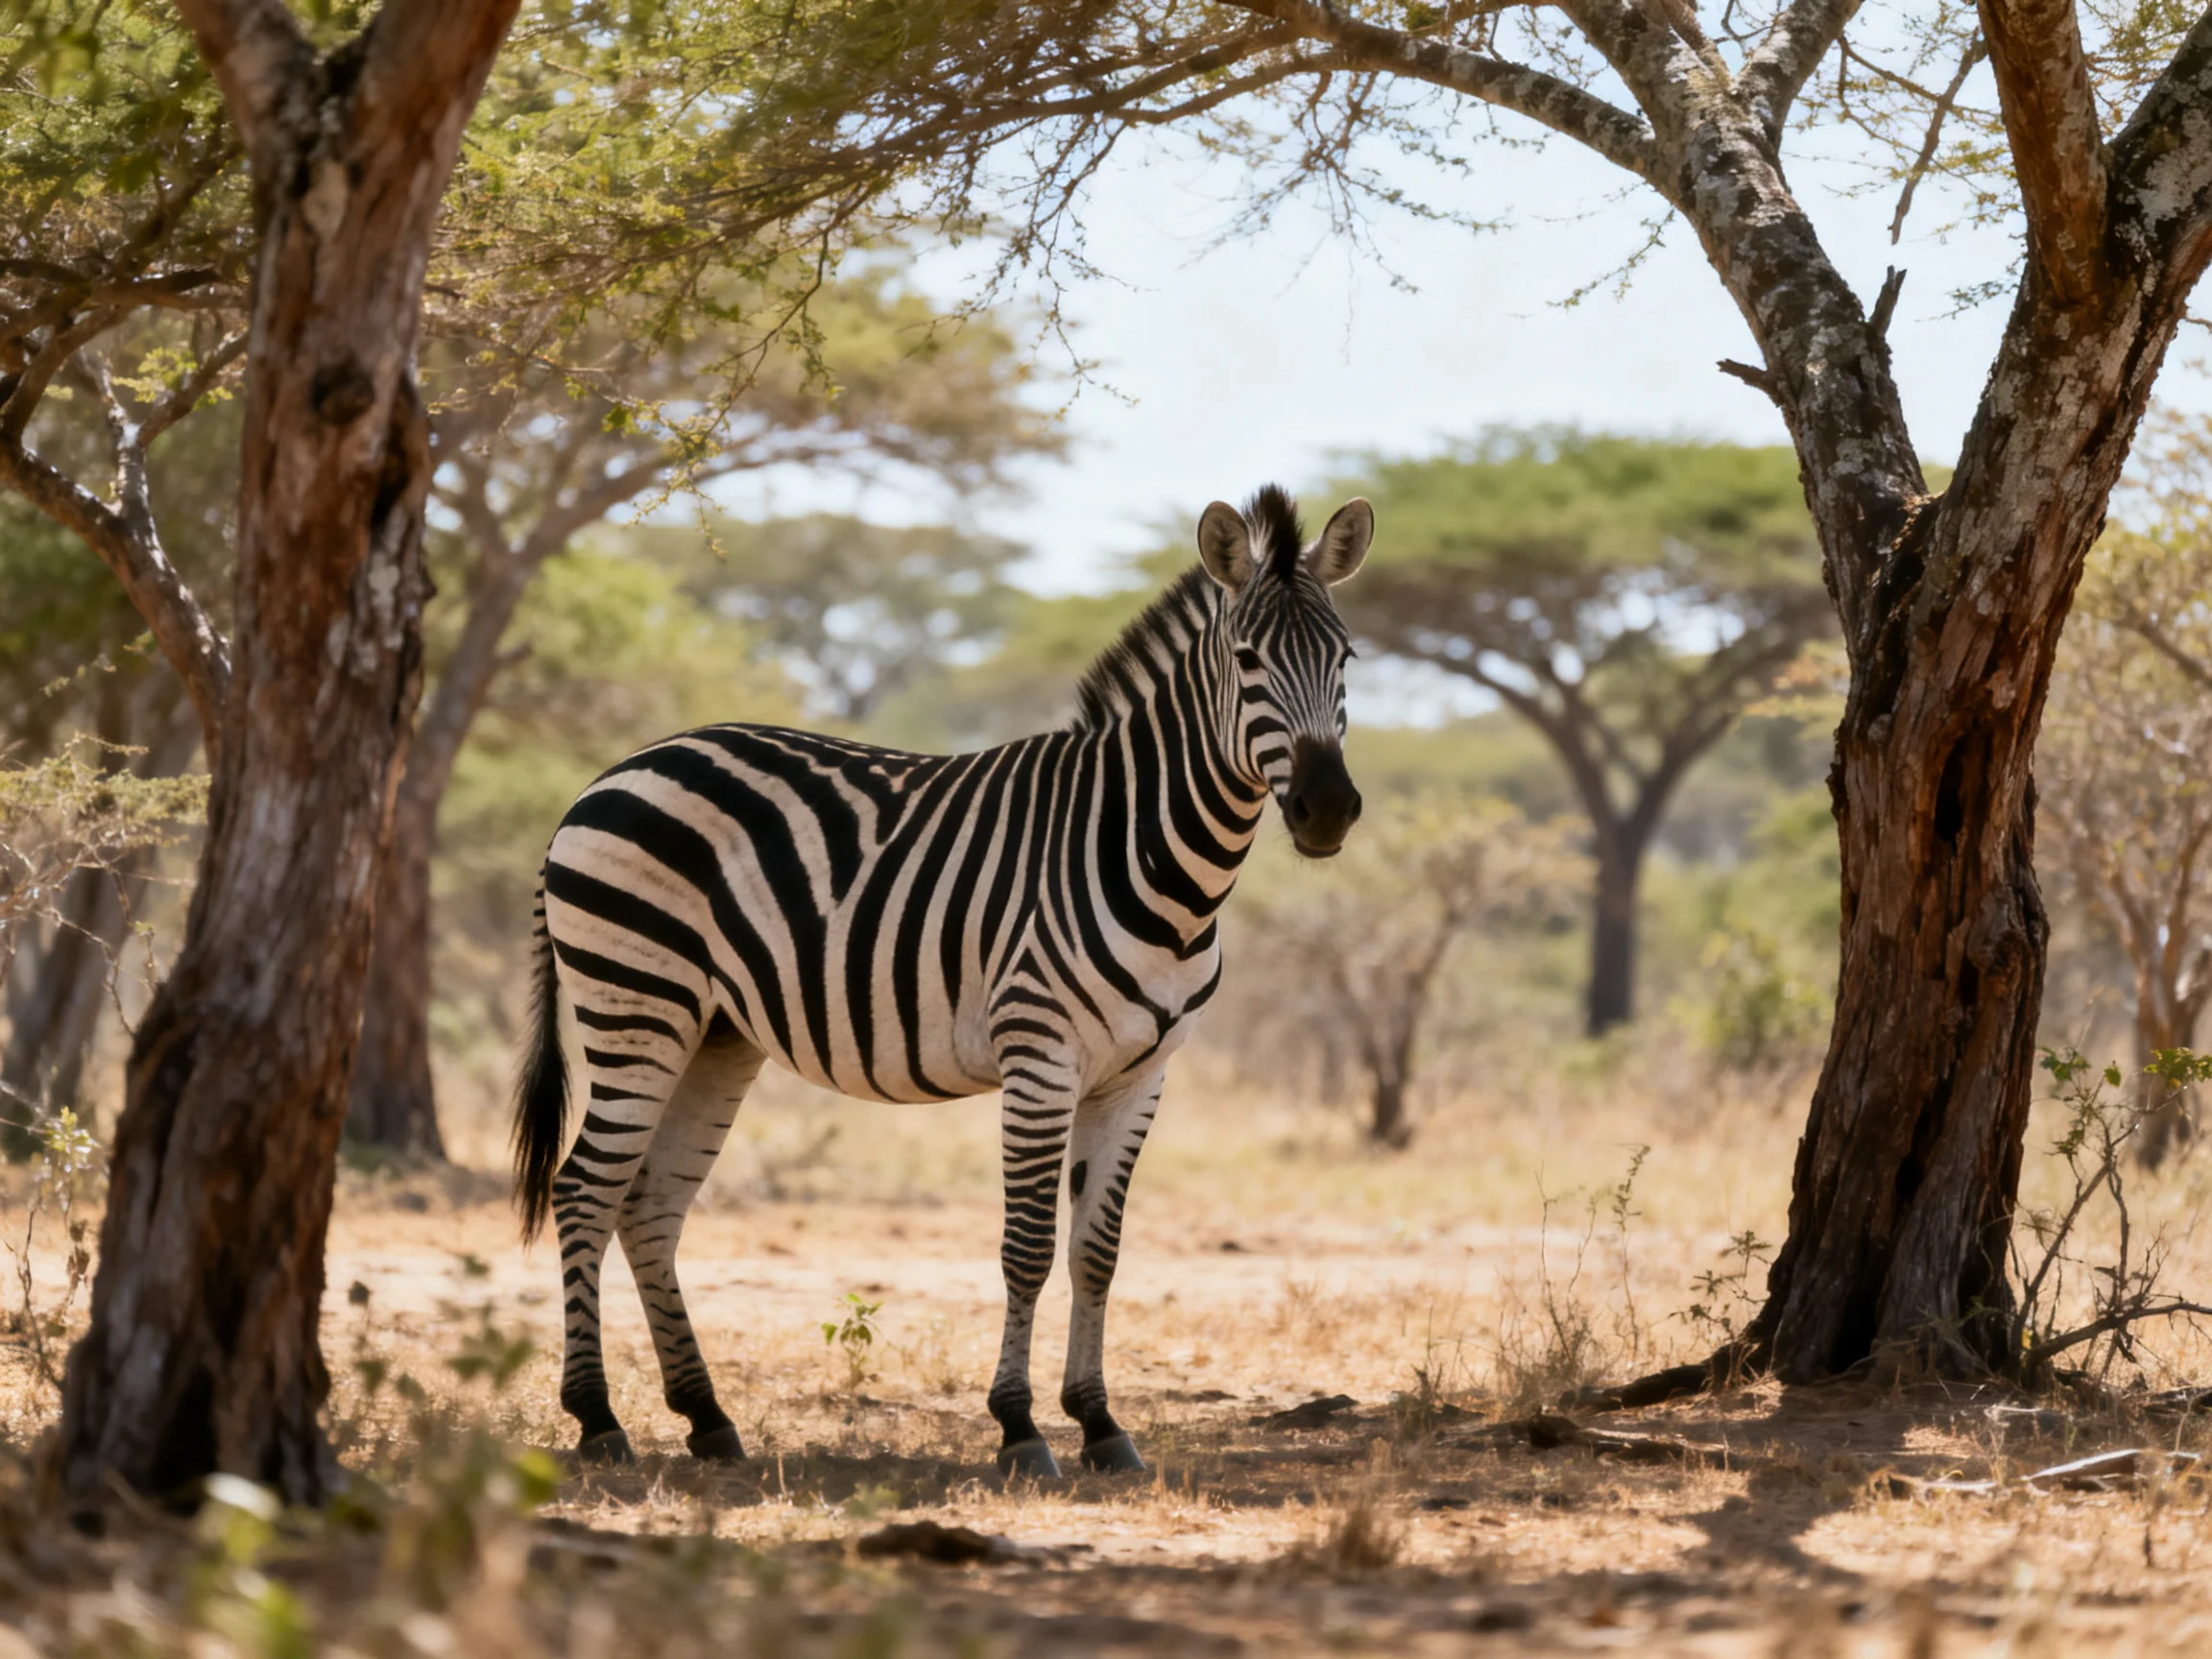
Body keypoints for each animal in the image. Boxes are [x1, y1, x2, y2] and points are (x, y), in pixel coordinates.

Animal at [512, 485, 1371, 1476]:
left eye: (1346, 659)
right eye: (1247, 660)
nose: (1327, 811)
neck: (1149, 853)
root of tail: (610, 775)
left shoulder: (1141, 1071)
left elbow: (1098, 1250)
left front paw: (1101, 1425)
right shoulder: (1040, 1054)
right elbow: (1028, 1246)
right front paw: (1020, 1428)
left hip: (715, 1033)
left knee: (649, 1204)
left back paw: (707, 1418)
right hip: (635, 1004)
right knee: (584, 1190)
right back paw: (598, 1420)